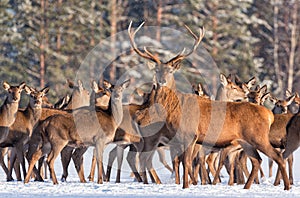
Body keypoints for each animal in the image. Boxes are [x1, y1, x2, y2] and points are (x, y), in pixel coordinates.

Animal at [127, 21, 290, 190]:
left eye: (170, 71)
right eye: (157, 70)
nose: (162, 81)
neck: (174, 109)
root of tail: (269, 114)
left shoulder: (191, 134)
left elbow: (187, 163)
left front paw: (186, 186)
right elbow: (184, 162)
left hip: (258, 137)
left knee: (277, 157)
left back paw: (286, 186)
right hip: (246, 142)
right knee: (258, 160)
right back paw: (247, 187)